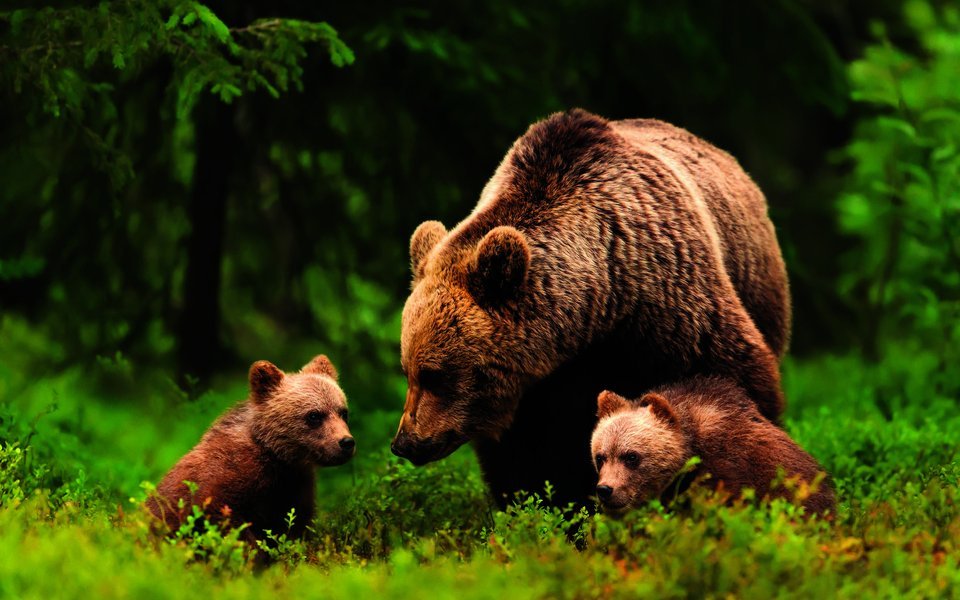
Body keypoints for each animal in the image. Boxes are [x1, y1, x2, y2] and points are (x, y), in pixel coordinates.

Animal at [146, 355, 355, 540]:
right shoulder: (228, 477)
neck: (279, 458)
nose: (346, 442)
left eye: (343, 412)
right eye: (314, 415)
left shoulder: (295, 485)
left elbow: (296, 524)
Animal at [391, 109, 790, 507]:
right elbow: (526, 455)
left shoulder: (671, 306)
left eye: (435, 374)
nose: (405, 443)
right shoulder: (534, 388)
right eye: (408, 370)